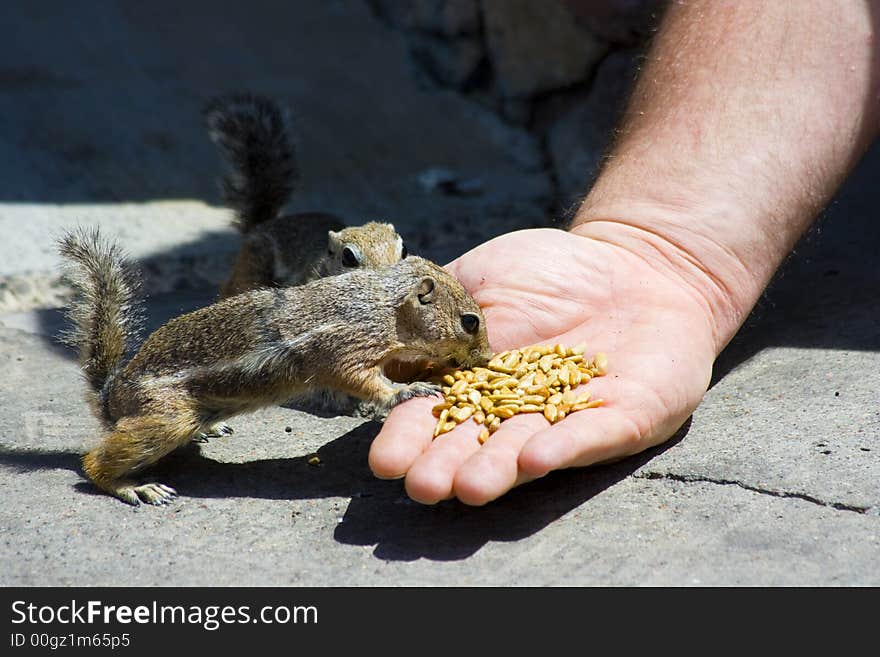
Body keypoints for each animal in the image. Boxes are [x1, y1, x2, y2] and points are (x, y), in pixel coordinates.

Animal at [58, 228, 492, 504]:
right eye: (470, 321)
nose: (487, 357)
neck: (383, 304)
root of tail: (111, 395)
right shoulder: (347, 348)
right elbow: (363, 381)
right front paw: (407, 391)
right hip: (166, 418)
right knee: (94, 464)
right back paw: (135, 487)